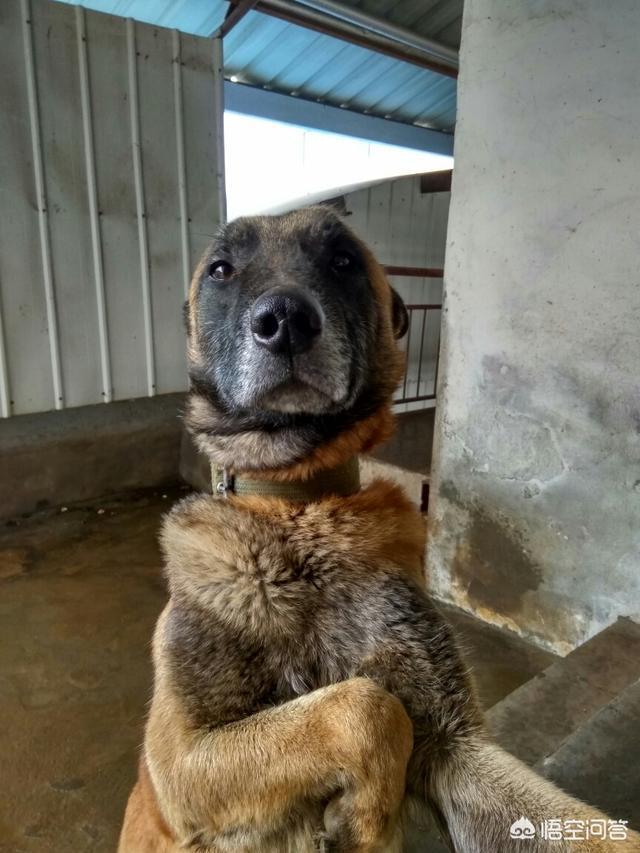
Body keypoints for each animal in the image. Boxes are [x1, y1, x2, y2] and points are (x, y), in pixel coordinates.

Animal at [119, 208, 636, 852]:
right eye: (220, 269)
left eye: (342, 260)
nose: (284, 322)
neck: (300, 514)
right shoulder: (179, 763)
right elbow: (367, 707)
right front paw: (366, 812)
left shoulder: (457, 748)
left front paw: (365, 817)